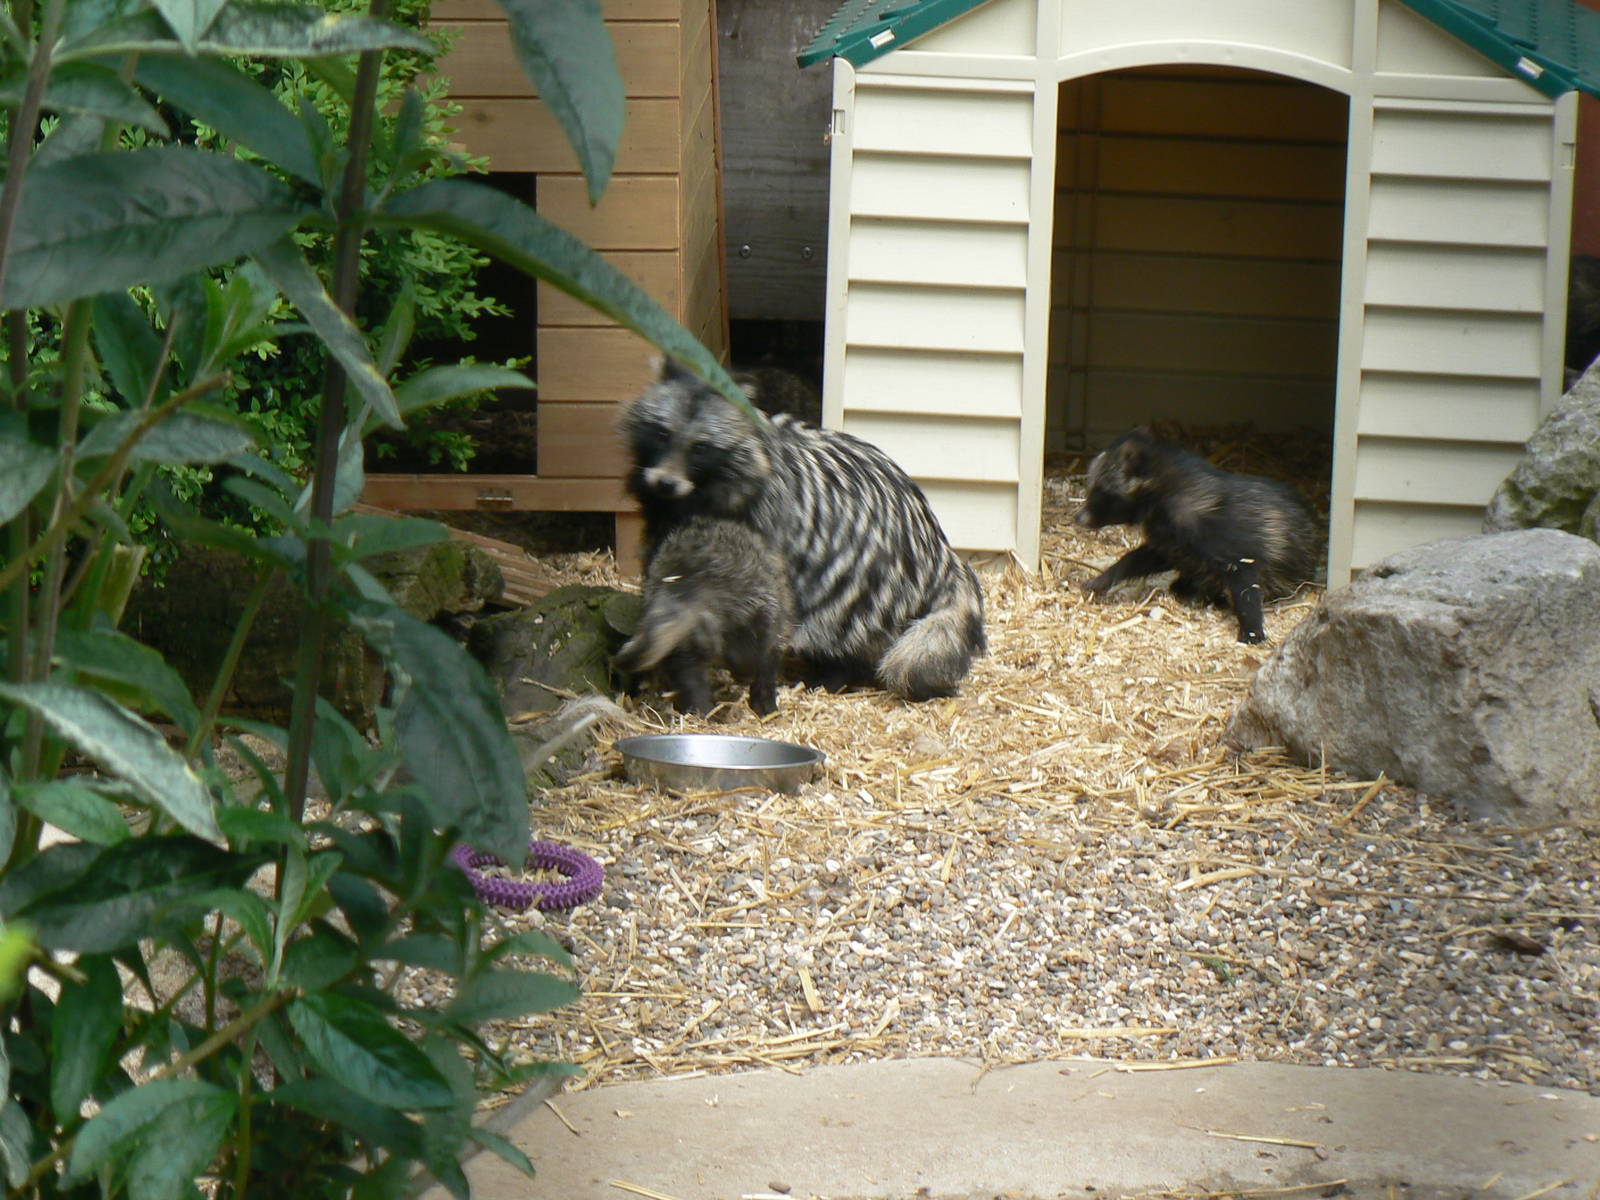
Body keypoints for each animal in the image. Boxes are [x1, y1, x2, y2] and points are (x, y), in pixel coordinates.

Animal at [620, 359, 986, 700]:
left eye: (700, 447)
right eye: (663, 434)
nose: (665, 483)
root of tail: (941, 554)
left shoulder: (762, 524)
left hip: (864, 578)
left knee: (838, 620)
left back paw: (836, 673)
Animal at [1074, 430, 1317, 644]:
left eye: (1100, 491)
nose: (1078, 517)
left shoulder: (1228, 538)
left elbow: (1246, 579)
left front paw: (1251, 626)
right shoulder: (1172, 539)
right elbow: (1143, 557)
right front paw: (1107, 576)